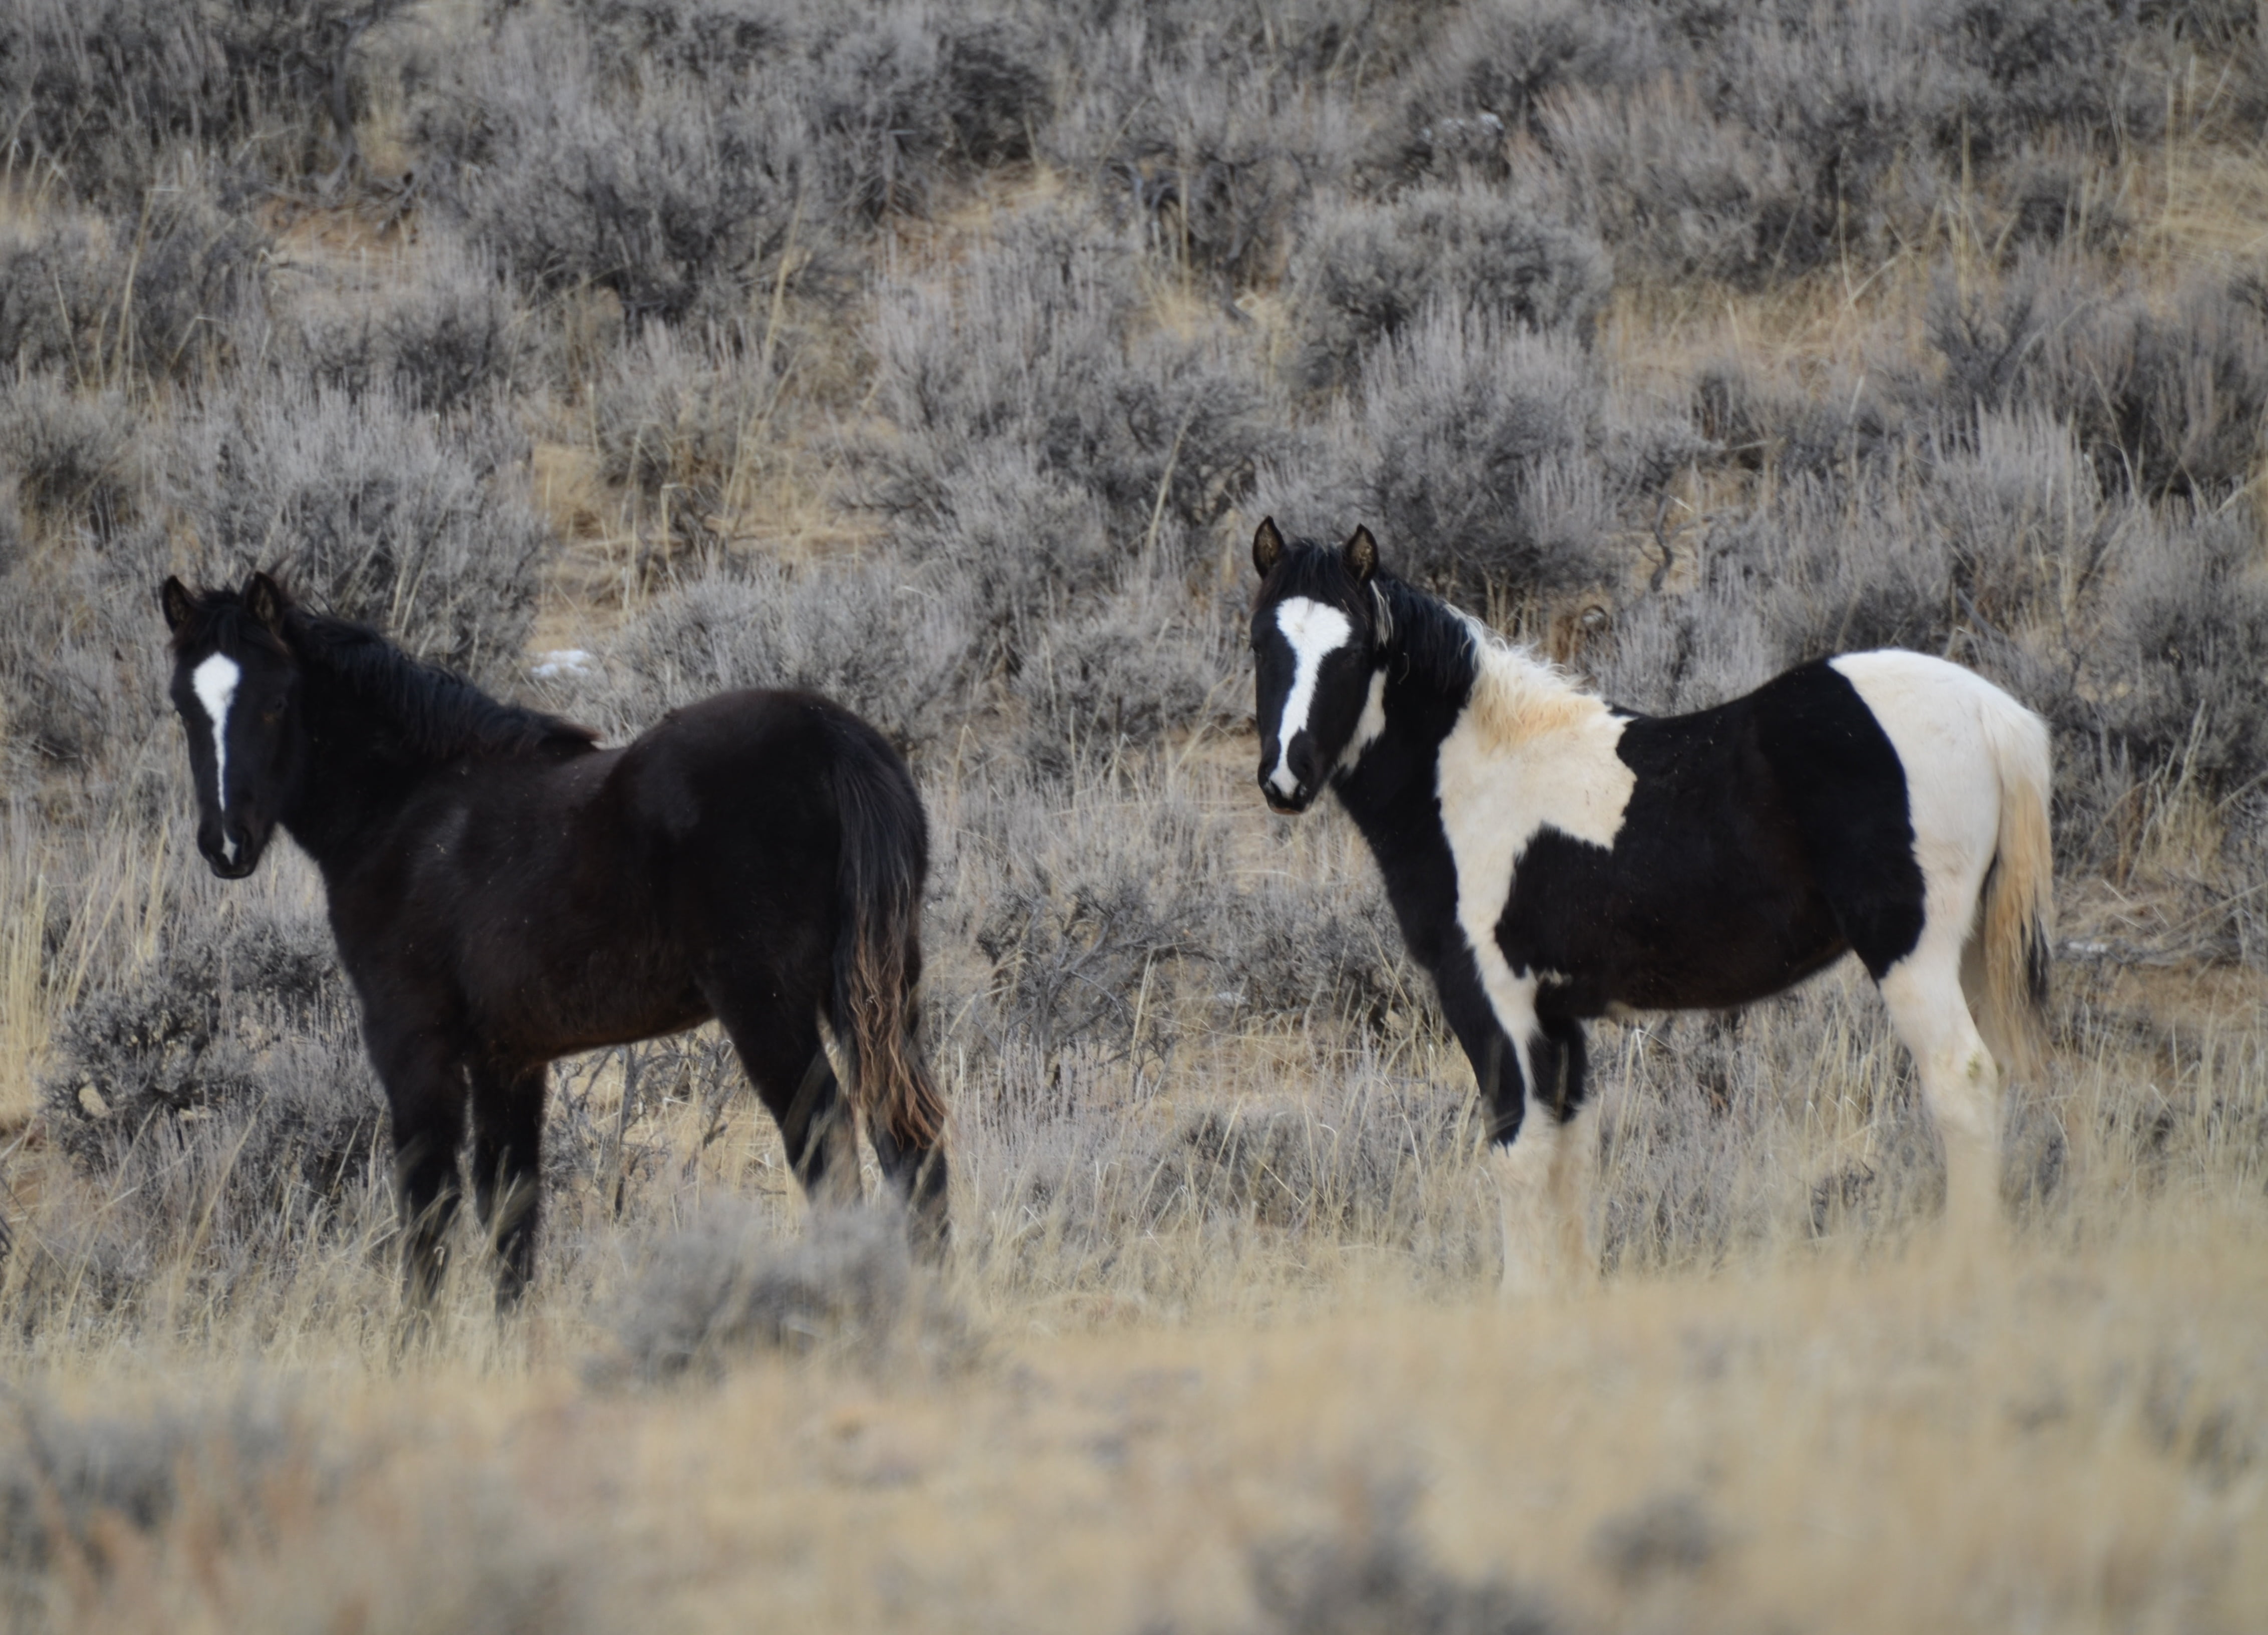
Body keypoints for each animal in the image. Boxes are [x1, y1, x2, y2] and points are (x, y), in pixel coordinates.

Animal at [160, 572, 947, 1305]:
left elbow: (429, 1211)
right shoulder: (509, 1058)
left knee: (832, 1149)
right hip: (880, 997)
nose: (226, 845)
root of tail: (833, 738)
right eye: (183, 708)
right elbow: (510, 1216)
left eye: (276, 702)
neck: (409, 813)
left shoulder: (412, 1044)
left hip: (769, 1008)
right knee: (912, 1141)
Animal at [1246, 519, 2054, 1290]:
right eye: (1260, 642)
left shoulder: (1493, 998)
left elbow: (1517, 1152)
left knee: (1961, 1084)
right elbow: (1568, 1152)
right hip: (1972, 951)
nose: (1286, 778)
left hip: (1912, 954)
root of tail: (1991, 713)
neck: (1476, 778)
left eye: (1353, 650)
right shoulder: (1556, 1015)